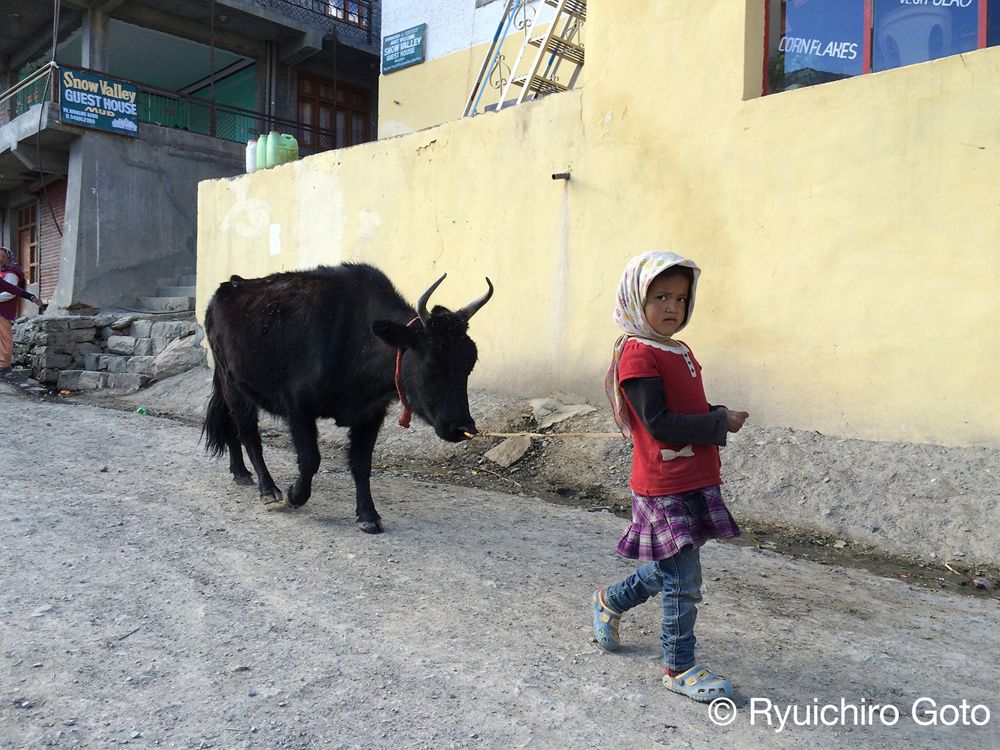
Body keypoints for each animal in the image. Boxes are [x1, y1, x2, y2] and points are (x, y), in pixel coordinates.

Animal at [202, 264, 492, 536]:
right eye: (432, 362)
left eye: (470, 363)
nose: (463, 428)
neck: (355, 338)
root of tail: (228, 286)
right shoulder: (297, 406)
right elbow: (310, 458)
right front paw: (294, 495)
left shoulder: (370, 414)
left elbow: (362, 464)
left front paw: (368, 516)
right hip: (233, 384)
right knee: (247, 432)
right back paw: (268, 488)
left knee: (231, 426)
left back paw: (240, 472)